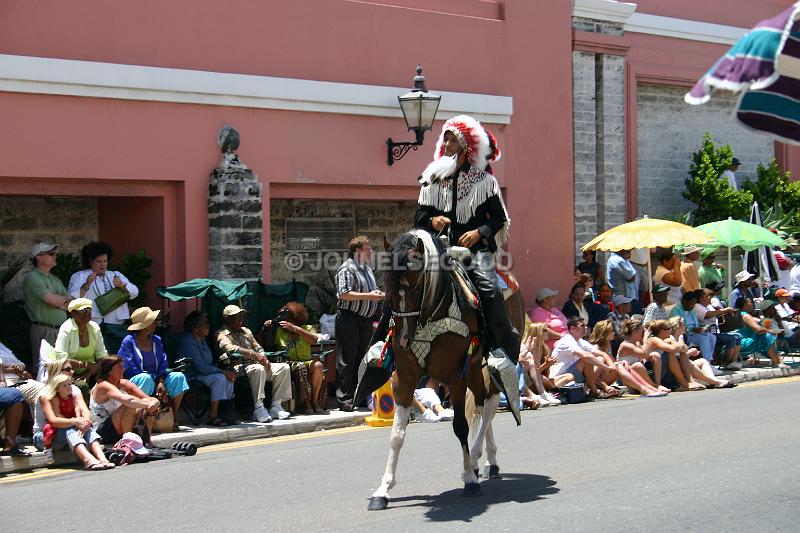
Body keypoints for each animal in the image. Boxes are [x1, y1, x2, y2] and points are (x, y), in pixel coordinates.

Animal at [368, 227, 524, 510]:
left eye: (416, 284)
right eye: (388, 288)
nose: (404, 339)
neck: (430, 314)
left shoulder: (455, 377)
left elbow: (460, 426)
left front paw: (469, 479)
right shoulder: (405, 378)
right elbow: (397, 435)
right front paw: (383, 490)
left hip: (483, 366)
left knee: (490, 405)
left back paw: (476, 460)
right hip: (474, 369)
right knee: (483, 403)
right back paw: (488, 461)